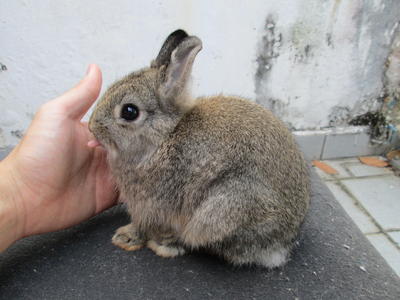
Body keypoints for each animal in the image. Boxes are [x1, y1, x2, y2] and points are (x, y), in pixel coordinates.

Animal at [89, 28, 310, 268]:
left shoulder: (153, 206)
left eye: (129, 112)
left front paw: (130, 238)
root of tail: (282, 246)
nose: (92, 129)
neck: (164, 139)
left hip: (223, 210)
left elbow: (147, 225)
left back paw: (167, 245)